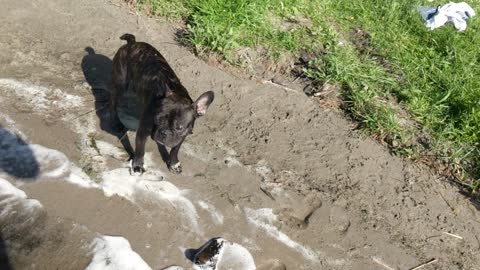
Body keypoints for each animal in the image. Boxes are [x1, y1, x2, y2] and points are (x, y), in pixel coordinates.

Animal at [110, 33, 214, 174]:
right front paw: (137, 165)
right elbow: (140, 149)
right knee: (112, 104)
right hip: (119, 86)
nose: (164, 132)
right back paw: (117, 123)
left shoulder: (182, 135)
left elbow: (175, 149)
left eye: (179, 127)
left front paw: (174, 163)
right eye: (158, 119)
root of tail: (132, 43)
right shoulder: (143, 131)